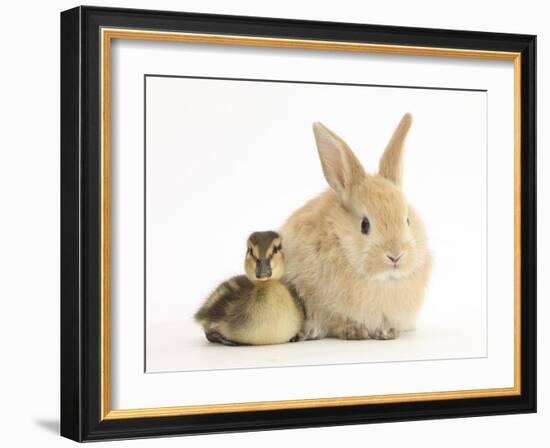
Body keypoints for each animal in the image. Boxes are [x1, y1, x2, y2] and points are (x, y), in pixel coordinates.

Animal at [282, 114, 434, 342]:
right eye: (365, 225)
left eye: (407, 220)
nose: (395, 256)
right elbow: (335, 321)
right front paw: (354, 330)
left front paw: (388, 332)